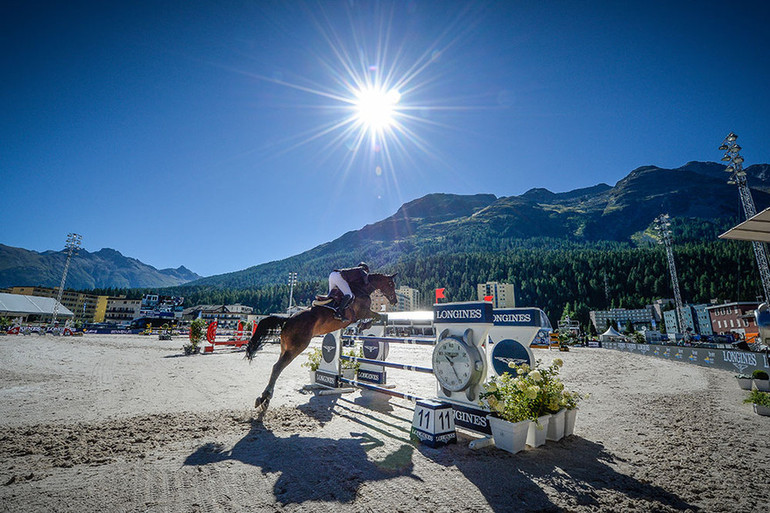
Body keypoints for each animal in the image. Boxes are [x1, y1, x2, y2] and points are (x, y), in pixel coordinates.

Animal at [244, 270, 396, 410]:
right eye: (390, 284)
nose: (395, 301)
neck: (362, 288)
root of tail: (289, 319)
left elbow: (376, 316)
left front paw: (364, 325)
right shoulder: (363, 311)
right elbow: (376, 315)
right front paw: (364, 325)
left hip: (285, 348)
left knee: (277, 366)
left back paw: (264, 398)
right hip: (297, 347)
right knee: (277, 367)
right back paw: (266, 396)